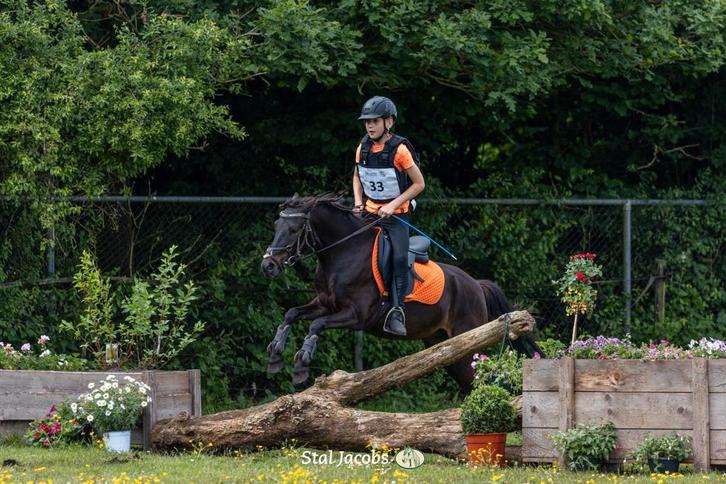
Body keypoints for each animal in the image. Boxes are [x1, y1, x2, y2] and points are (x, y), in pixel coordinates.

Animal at [260, 193, 537, 390]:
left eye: (294, 229)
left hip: (467, 339)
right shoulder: (325, 303)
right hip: (444, 346)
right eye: (276, 224)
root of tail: (477, 285)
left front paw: (301, 363)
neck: (342, 253)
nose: (268, 266)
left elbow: (316, 324)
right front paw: (275, 355)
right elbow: (292, 313)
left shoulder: (355, 315)